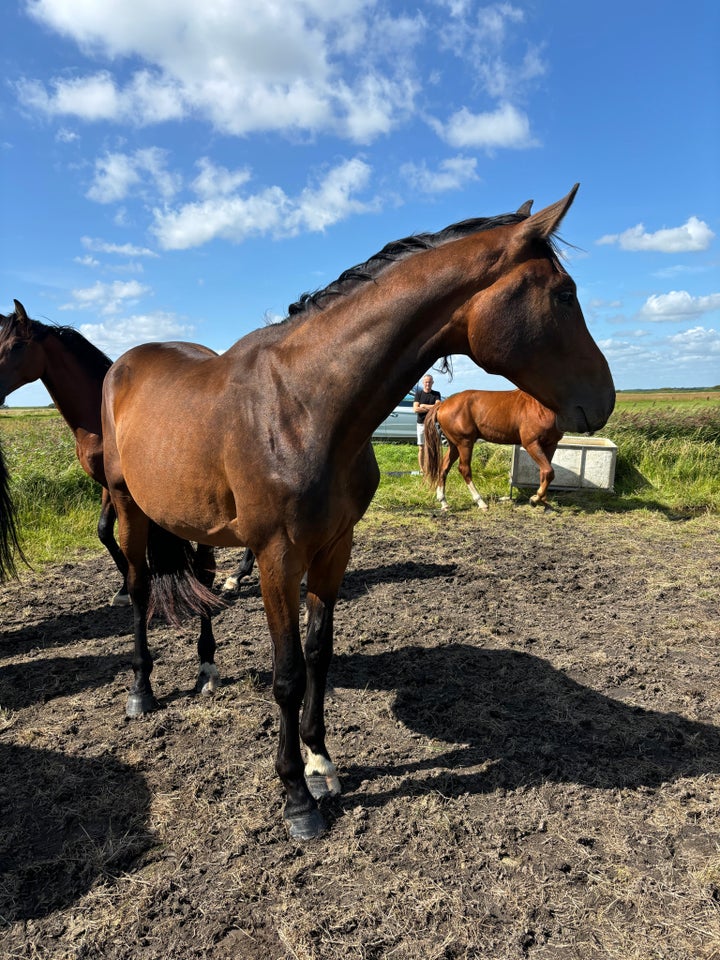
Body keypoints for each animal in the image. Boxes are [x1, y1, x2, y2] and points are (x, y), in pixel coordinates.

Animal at [422, 388, 568, 510]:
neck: (540, 406)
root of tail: (443, 404)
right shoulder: (531, 444)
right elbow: (548, 471)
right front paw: (535, 499)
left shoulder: (551, 445)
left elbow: (545, 472)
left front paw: (543, 501)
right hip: (465, 443)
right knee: (464, 469)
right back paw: (480, 502)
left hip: (454, 445)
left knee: (444, 467)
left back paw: (444, 502)